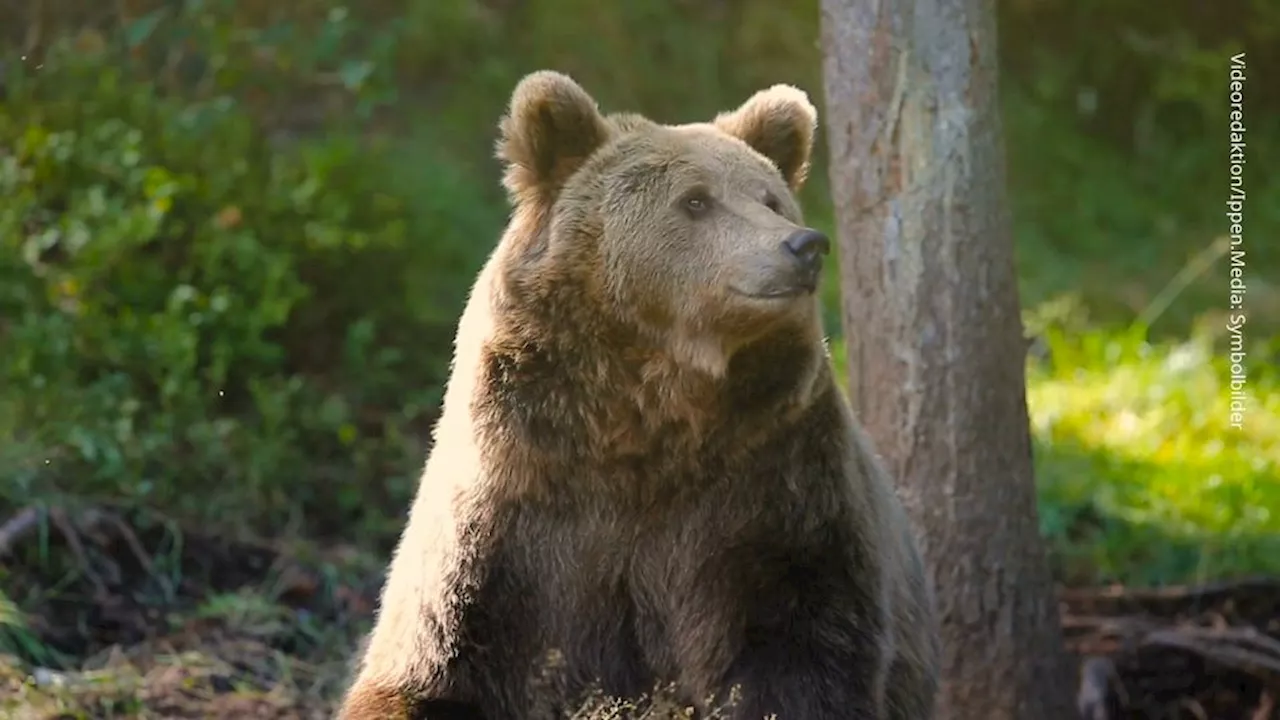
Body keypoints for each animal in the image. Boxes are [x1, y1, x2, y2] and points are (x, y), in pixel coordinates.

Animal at [340, 68, 942, 717]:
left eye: (771, 199)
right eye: (696, 200)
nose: (804, 245)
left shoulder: (779, 484)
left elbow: (807, 648)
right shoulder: (513, 498)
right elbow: (435, 657)